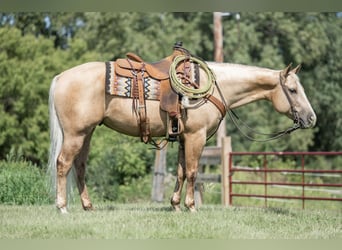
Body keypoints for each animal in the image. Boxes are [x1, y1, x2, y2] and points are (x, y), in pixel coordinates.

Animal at [47, 59, 316, 212]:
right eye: (292, 90)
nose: (311, 118)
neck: (214, 85)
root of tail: (60, 77)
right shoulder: (197, 136)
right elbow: (193, 172)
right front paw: (191, 207)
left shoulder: (184, 138)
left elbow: (180, 172)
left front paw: (175, 206)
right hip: (75, 134)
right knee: (63, 164)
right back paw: (62, 207)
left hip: (87, 133)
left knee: (79, 167)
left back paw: (88, 206)